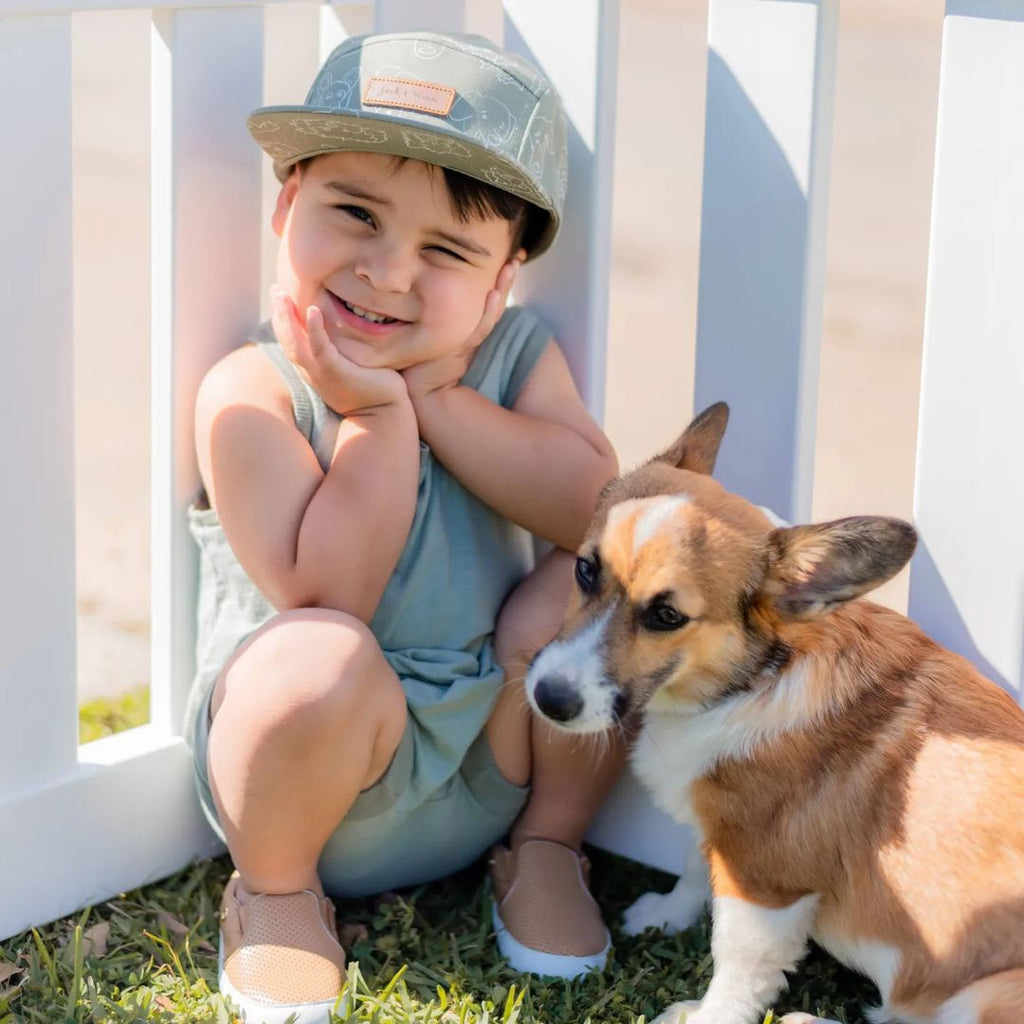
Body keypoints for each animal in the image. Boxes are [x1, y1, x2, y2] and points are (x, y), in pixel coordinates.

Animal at [524, 403, 1024, 1019]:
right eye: (585, 571)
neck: (755, 681)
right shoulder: (724, 830)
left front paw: (707, 1015)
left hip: (990, 994)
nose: (549, 700)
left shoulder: (764, 882)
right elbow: (694, 867)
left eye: (667, 616)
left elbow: (739, 960)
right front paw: (665, 915)